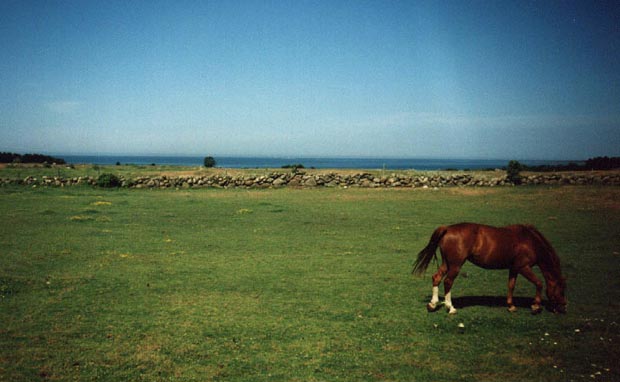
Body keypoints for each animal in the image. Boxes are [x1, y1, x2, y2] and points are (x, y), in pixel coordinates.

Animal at [412, 222, 568, 314]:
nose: (563, 307)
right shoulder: (524, 267)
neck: (530, 241)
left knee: (437, 278)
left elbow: (511, 285)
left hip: (447, 263)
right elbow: (539, 283)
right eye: (561, 289)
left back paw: (433, 304)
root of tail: (448, 229)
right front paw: (536, 306)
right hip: (455, 265)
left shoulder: (514, 269)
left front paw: (511, 305)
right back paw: (450, 307)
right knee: (448, 282)